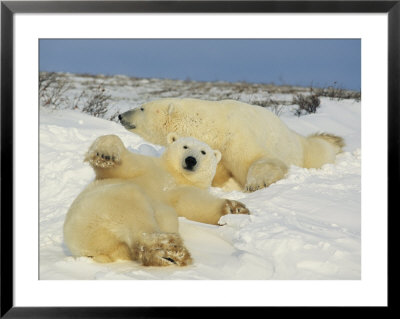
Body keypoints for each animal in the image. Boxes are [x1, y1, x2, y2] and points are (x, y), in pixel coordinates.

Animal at [63, 134, 248, 266]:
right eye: (185, 146)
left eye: (203, 152)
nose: (191, 160)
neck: (174, 176)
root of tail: (88, 251)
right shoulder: (148, 167)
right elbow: (123, 165)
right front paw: (106, 154)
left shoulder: (183, 191)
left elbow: (197, 206)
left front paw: (236, 209)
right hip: (102, 208)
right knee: (134, 206)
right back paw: (170, 249)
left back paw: (170, 254)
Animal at [118, 99, 344, 191]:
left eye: (141, 108)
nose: (120, 115)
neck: (213, 125)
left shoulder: (236, 136)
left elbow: (260, 159)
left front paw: (255, 183)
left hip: (302, 149)